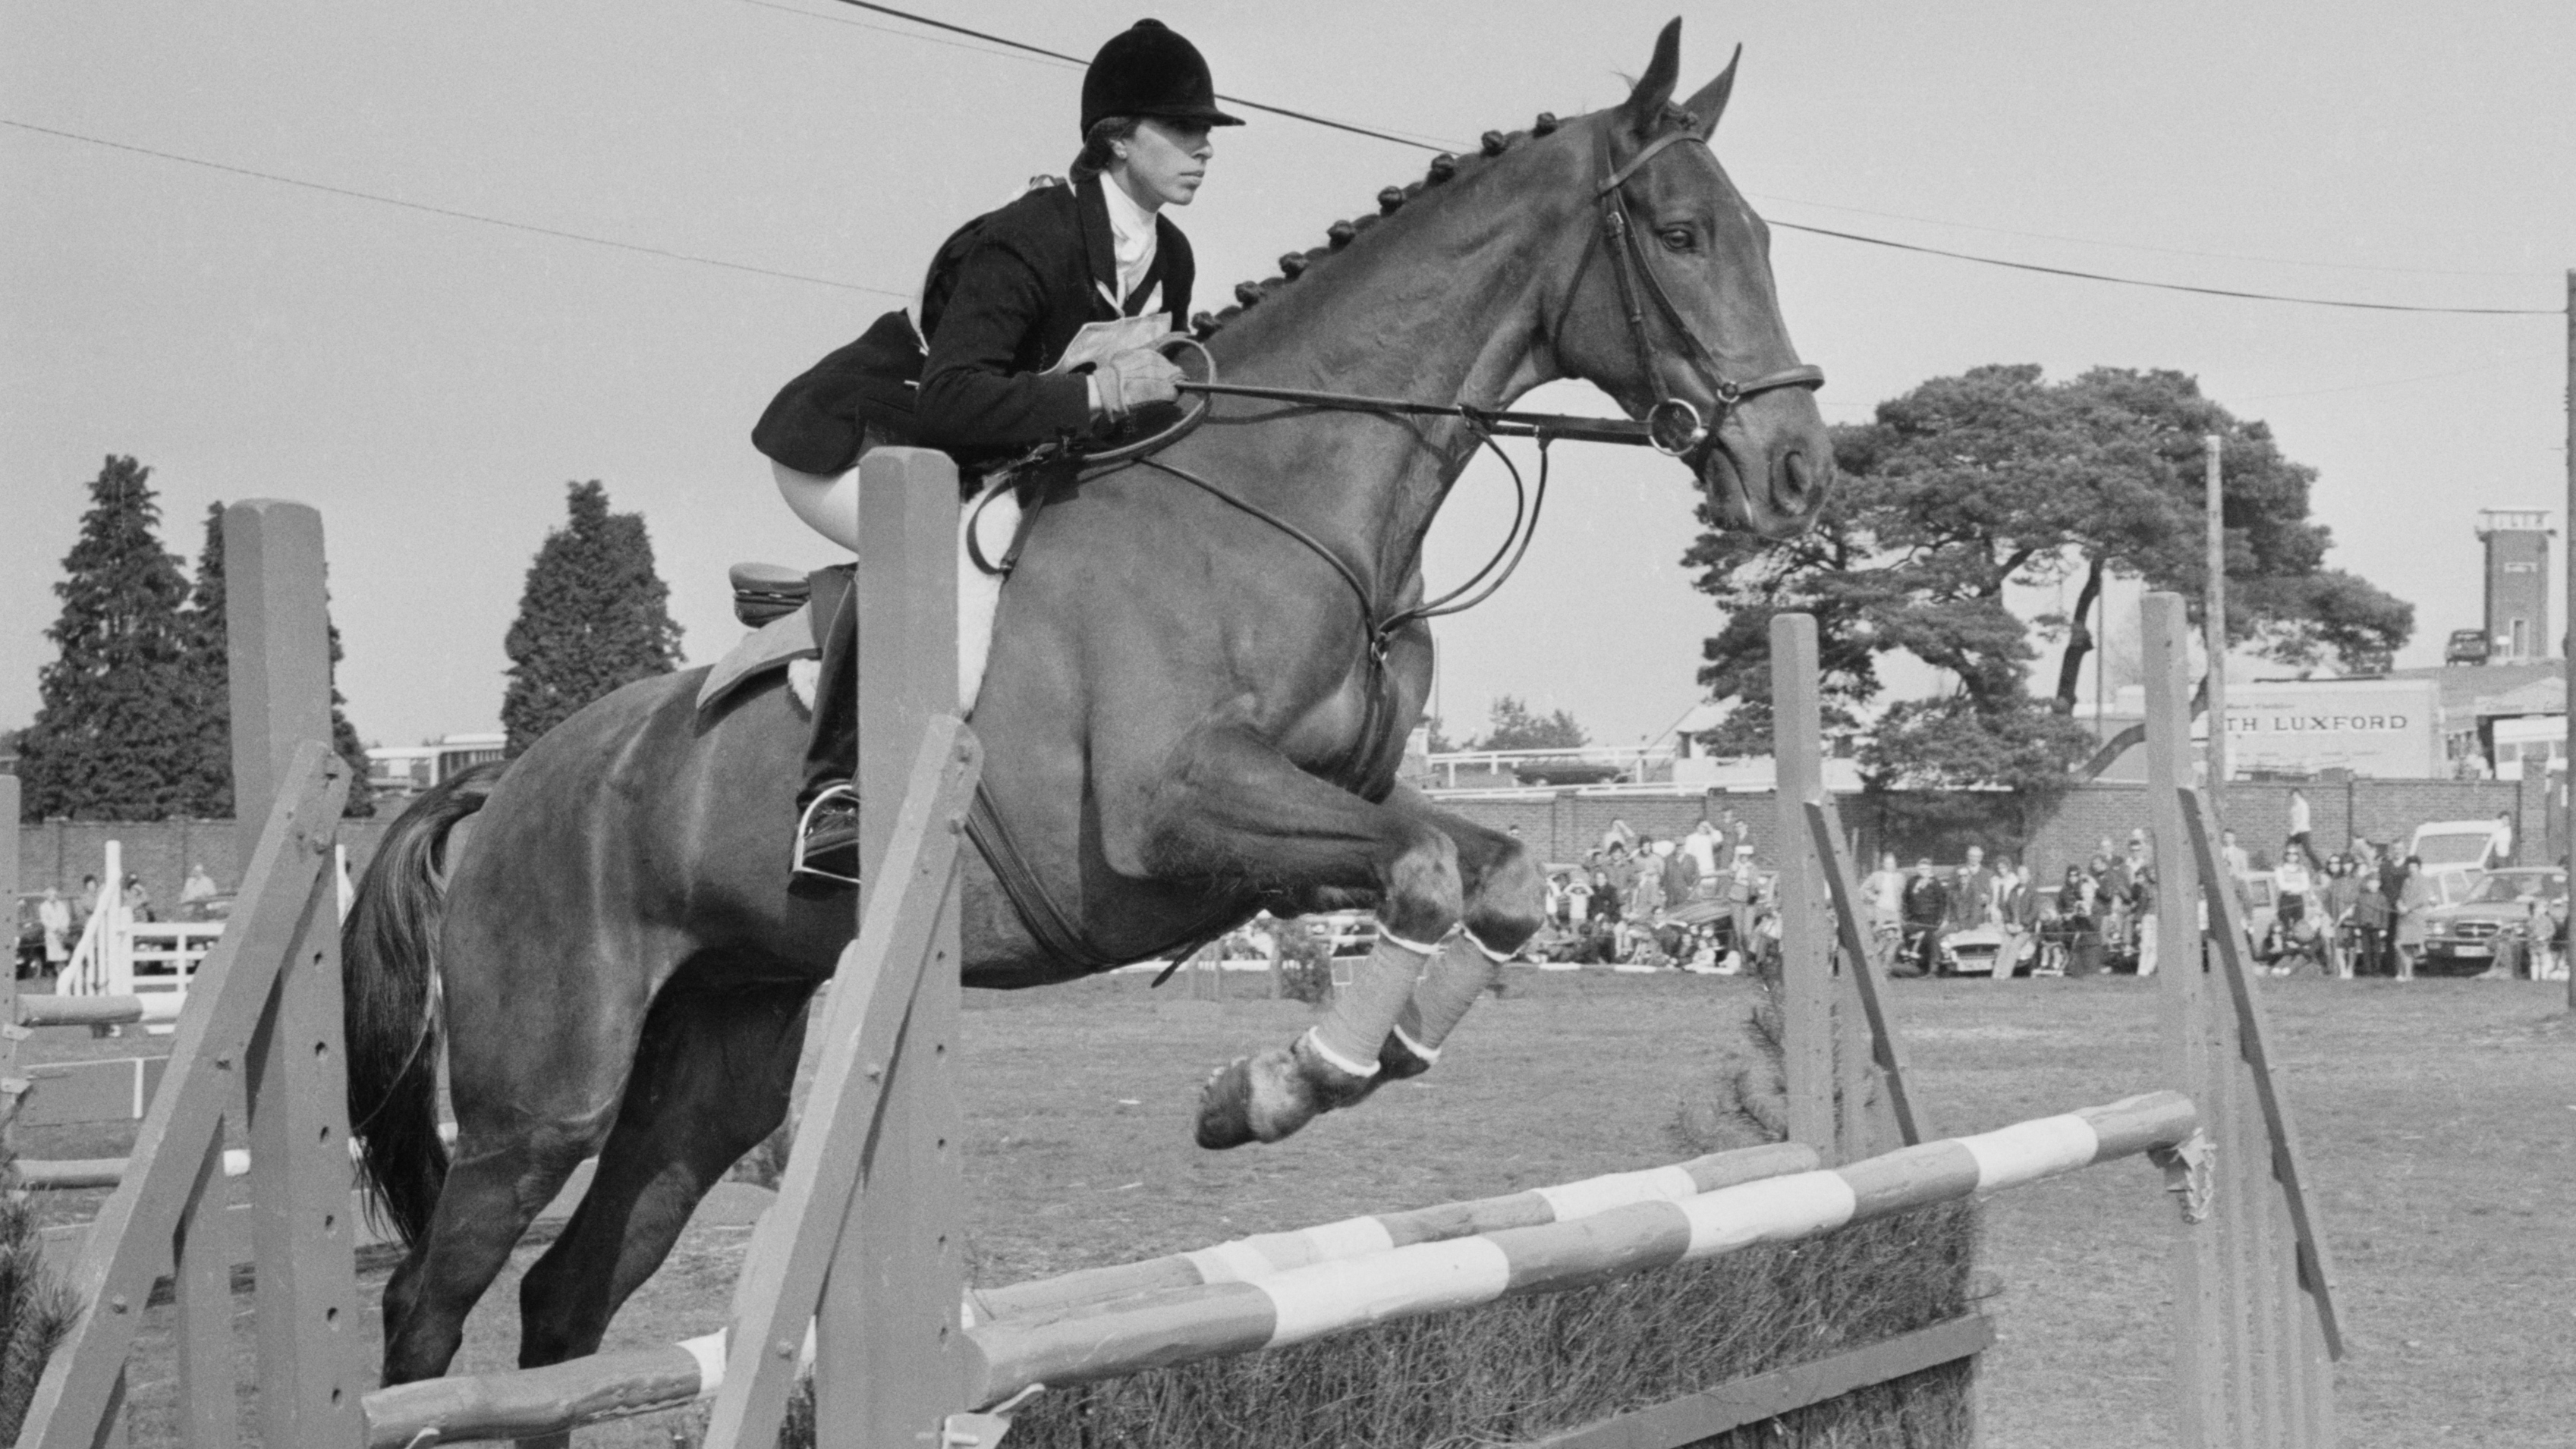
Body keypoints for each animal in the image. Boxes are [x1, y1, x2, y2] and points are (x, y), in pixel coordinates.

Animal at [345, 17, 1834, 1391]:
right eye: (1681, 234)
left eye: (1765, 238)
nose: (1799, 474)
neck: (1282, 494)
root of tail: (505, 783)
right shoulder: (1169, 817)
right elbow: (1419, 871)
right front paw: (1275, 1087)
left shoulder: (1316, 809)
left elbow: (1499, 875)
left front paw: (1352, 1059)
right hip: (545, 1096)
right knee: (431, 1300)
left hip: (715, 1058)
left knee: (572, 1294)